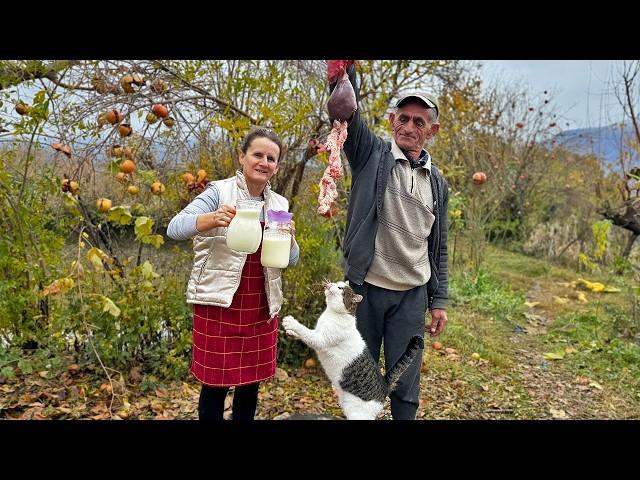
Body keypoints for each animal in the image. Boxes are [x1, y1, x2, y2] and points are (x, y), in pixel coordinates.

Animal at [282, 282, 422, 420]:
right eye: (336, 283)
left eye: (340, 288)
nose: (330, 284)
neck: (332, 313)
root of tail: (384, 386)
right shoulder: (317, 333)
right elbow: (305, 334)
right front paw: (291, 333)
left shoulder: (320, 339)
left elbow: (305, 332)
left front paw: (291, 323)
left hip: (357, 413)